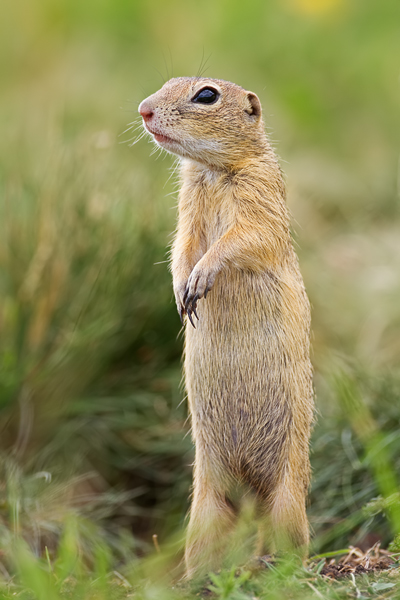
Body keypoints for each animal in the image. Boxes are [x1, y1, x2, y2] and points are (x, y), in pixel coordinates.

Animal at [139, 77, 314, 580]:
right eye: (164, 83)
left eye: (206, 95)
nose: (143, 110)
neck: (214, 172)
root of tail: (251, 492)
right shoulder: (187, 208)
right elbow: (182, 246)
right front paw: (182, 289)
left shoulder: (261, 196)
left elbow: (243, 238)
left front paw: (202, 277)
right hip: (206, 507)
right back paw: (201, 578)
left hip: (288, 498)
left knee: (288, 537)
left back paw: (280, 568)